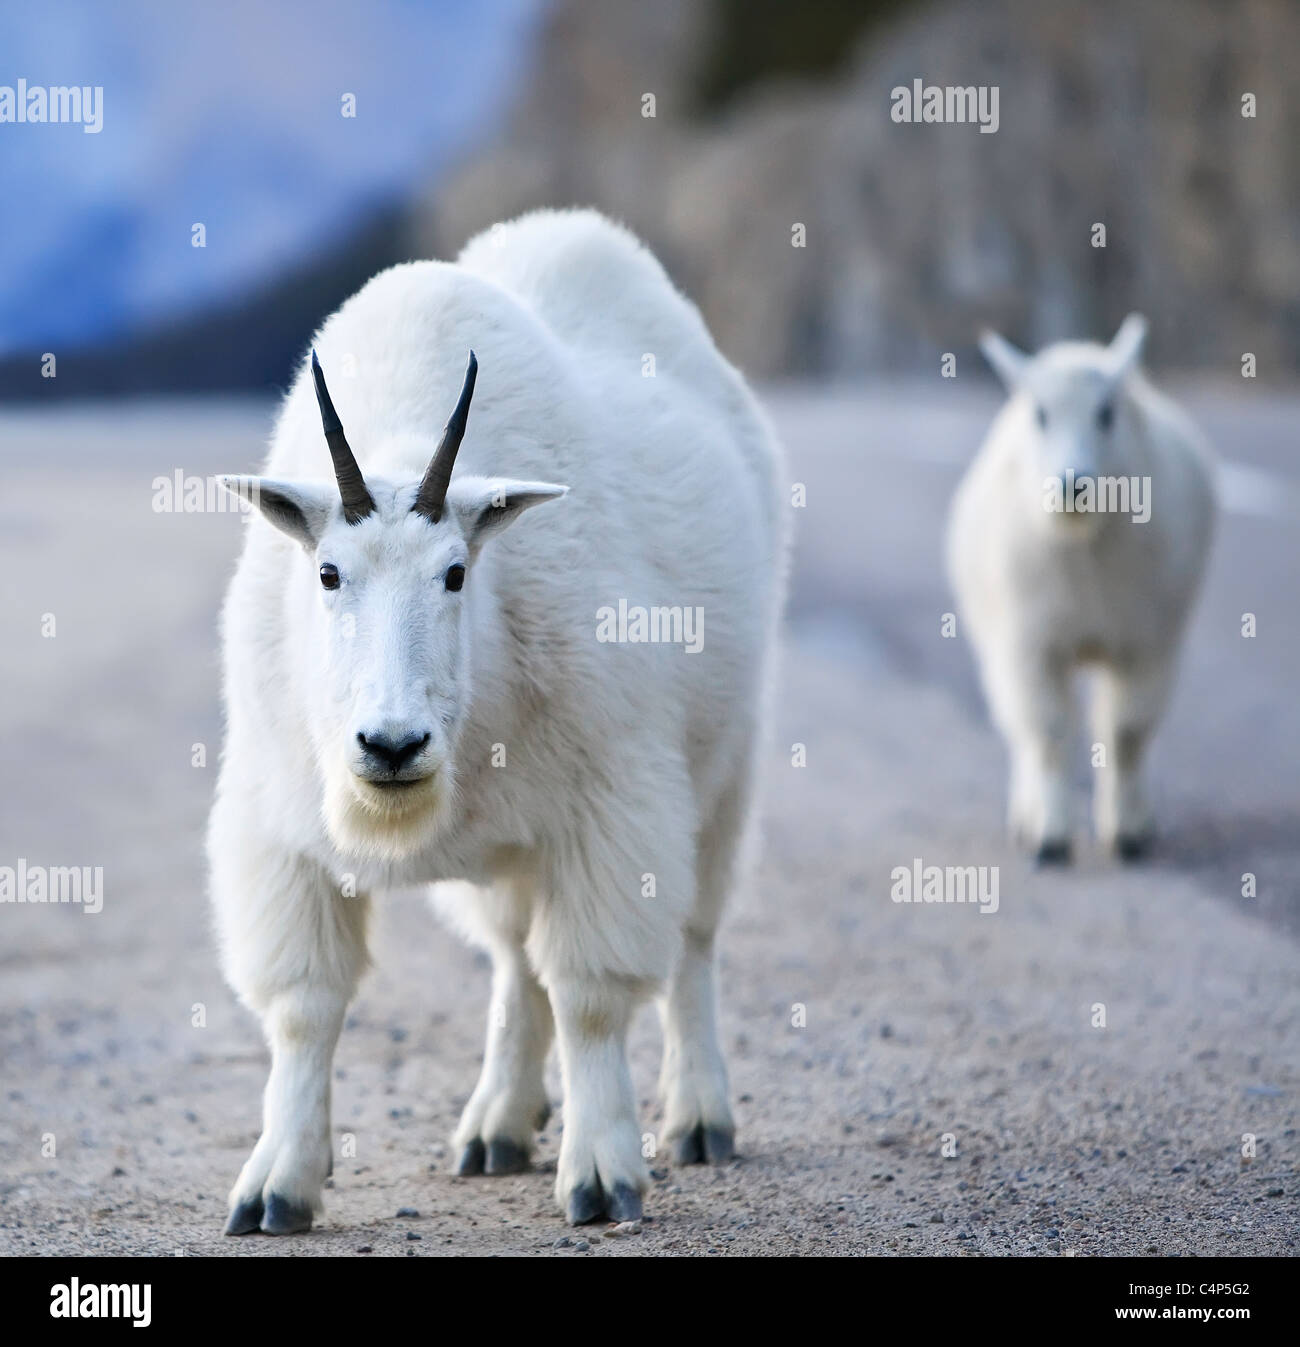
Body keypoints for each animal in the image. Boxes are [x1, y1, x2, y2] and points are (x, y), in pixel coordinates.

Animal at [207, 207, 786, 1233]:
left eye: (454, 572)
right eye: (327, 572)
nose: (391, 746)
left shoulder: (612, 805)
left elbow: (593, 993)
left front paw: (602, 1176)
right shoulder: (282, 826)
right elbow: (306, 1005)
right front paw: (275, 1184)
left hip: (726, 763)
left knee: (693, 941)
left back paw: (699, 1115)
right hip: (517, 845)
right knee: (517, 959)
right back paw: (497, 1127)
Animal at [948, 315, 1212, 862]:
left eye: (1106, 413)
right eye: (1041, 414)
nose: (1073, 484)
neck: (1083, 545)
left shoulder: (1148, 642)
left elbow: (1127, 732)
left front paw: (1128, 835)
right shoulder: (1032, 644)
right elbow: (1049, 733)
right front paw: (1051, 839)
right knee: (1021, 729)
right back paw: (1025, 816)